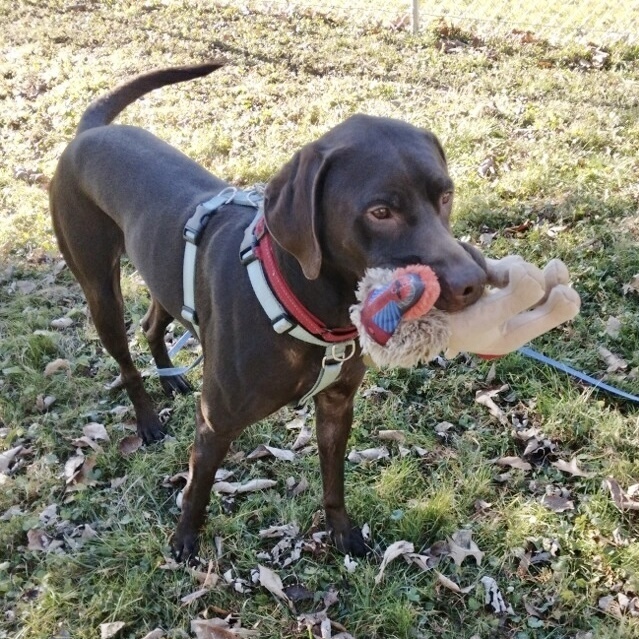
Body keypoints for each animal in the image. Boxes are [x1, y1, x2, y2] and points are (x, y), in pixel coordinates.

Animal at [50, 61, 488, 560]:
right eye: (380, 211)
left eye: (446, 196)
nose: (473, 282)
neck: (306, 305)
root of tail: (90, 132)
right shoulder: (215, 423)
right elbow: (198, 488)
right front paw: (184, 540)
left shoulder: (337, 406)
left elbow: (334, 482)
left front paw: (341, 532)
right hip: (100, 290)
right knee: (125, 358)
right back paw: (146, 419)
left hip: (160, 269)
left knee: (152, 323)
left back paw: (172, 378)